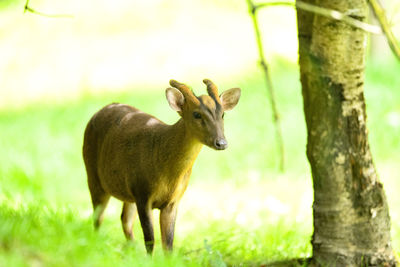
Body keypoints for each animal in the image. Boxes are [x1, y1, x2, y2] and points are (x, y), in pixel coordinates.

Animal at [82, 78, 241, 254]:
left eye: (223, 114)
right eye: (196, 114)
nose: (221, 143)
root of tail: (100, 111)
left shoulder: (172, 201)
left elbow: (168, 243)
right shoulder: (143, 193)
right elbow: (150, 239)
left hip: (127, 191)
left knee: (124, 219)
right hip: (93, 175)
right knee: (98, 217)